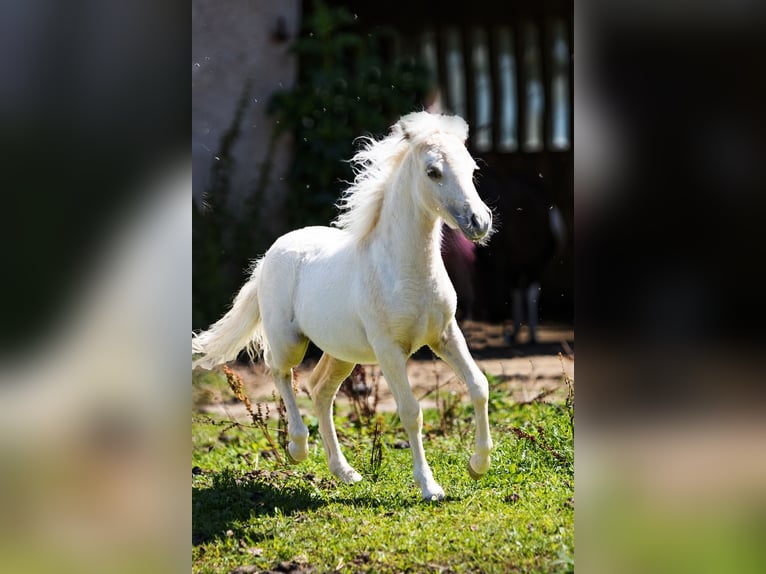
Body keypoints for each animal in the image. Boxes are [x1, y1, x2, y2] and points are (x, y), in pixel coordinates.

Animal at [195, 111, 496, 500]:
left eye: (472, 168)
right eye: (433, 171)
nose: (479, 222)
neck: (405, 270)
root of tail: (270, 253)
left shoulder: (445, 334)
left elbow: (478, 386)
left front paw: (478, 465)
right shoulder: (389, 350)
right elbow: (411, 411)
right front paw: (430, 487)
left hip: (343, 353)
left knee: (320, 390)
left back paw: (345, 471)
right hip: (290, 342)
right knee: (278, 370)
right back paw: (297, 448)